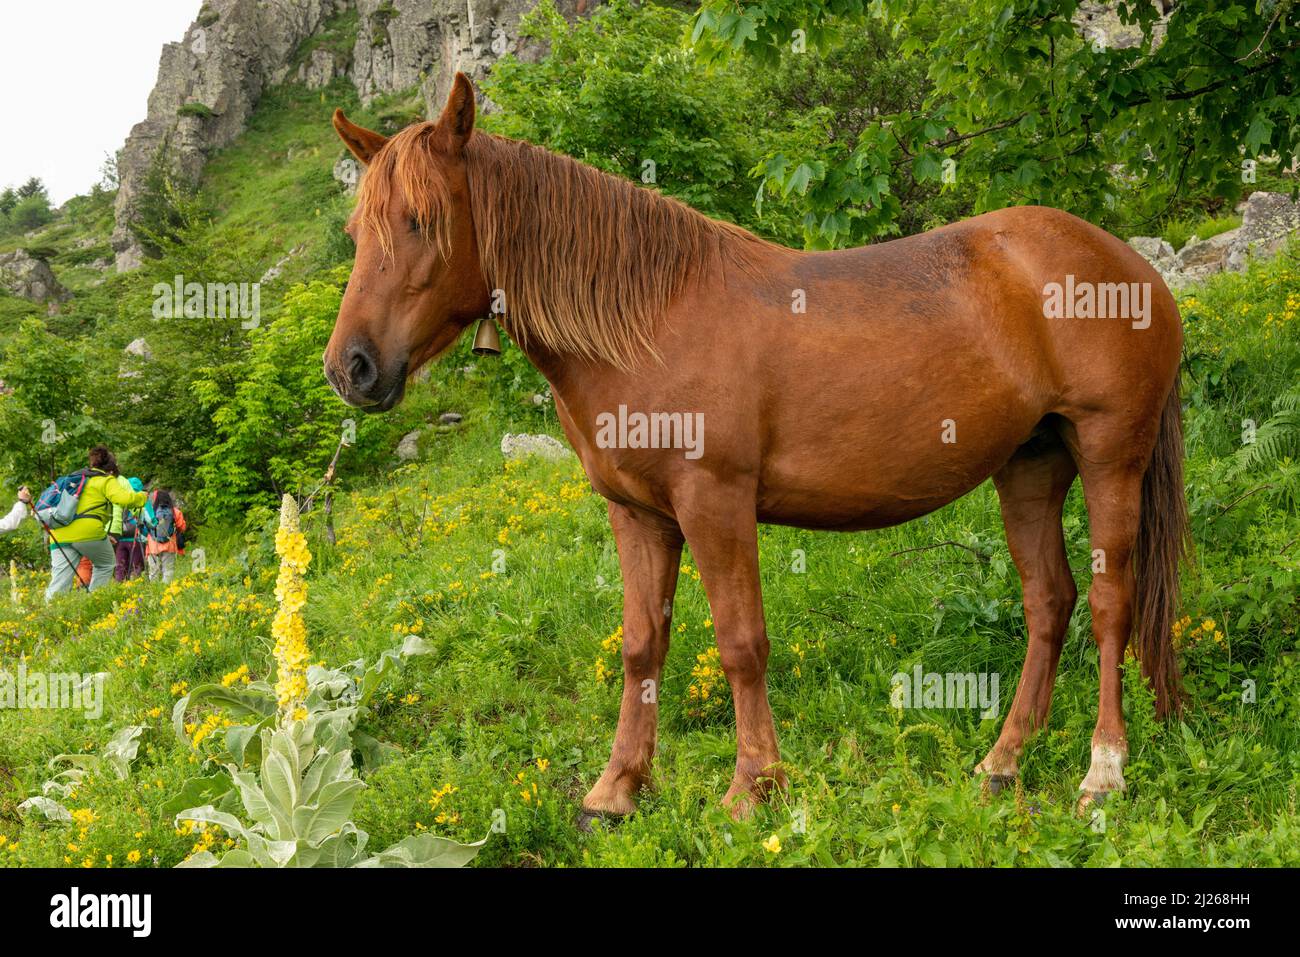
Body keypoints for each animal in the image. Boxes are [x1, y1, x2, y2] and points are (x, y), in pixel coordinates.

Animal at [322, 74, 1190, 821]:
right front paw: (616, 789)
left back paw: (1102, 770)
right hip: (1031, 465)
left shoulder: (716, 503)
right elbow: (641, 646)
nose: (350, 367)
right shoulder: (638, 515)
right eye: (357, 231)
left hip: (1109, 453)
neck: (650, 319)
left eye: (422, 220)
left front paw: (753, 786)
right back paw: (1003, 759)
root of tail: (1126, 264)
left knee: (1109, 603)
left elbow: (741, 644)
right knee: (1049, 600)